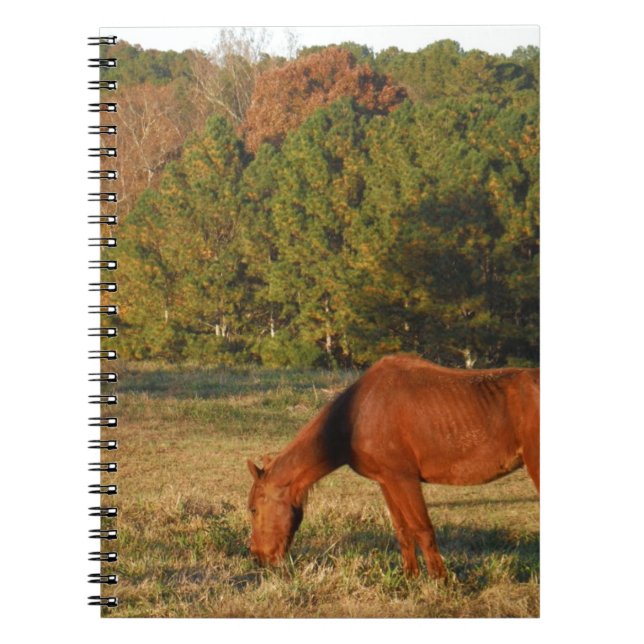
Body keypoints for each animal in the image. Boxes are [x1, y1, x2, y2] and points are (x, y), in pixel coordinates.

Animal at [246, 354, 539, 578]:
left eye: (253, 509)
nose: (258, 557)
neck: (358, 413)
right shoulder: (387, 481)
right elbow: (403, 531)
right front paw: (411, 578)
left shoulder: (404, 480)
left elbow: (422, 529)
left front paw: (440, 582)